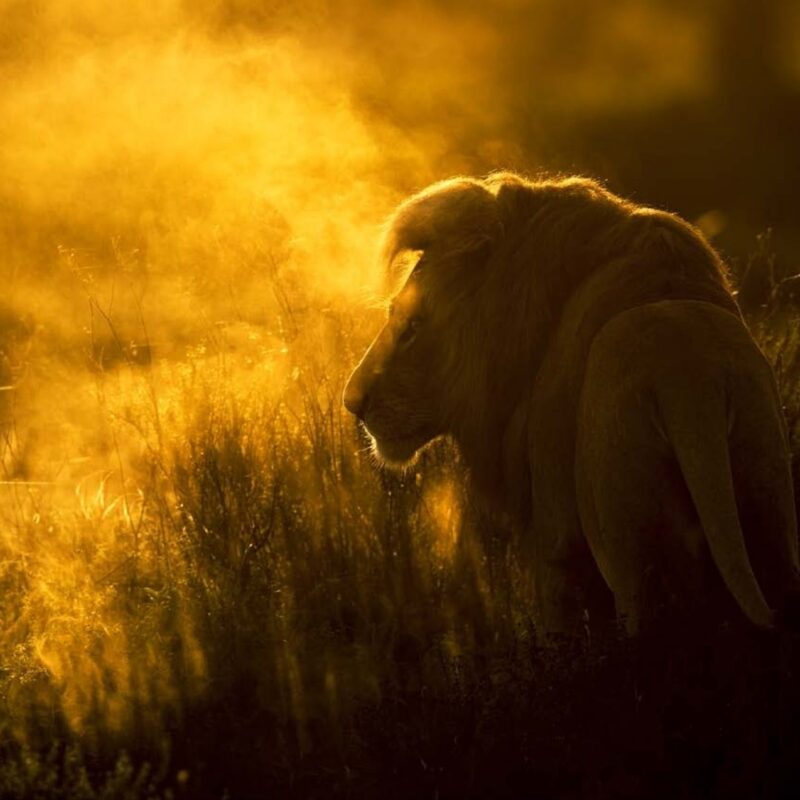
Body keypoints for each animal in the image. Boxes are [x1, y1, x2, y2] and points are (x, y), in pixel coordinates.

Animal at [343, 172, 800, 636]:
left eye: (412, 324)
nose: (352, 402)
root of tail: (688, 377)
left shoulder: (555, 546)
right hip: (768, 503)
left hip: (629, 551)